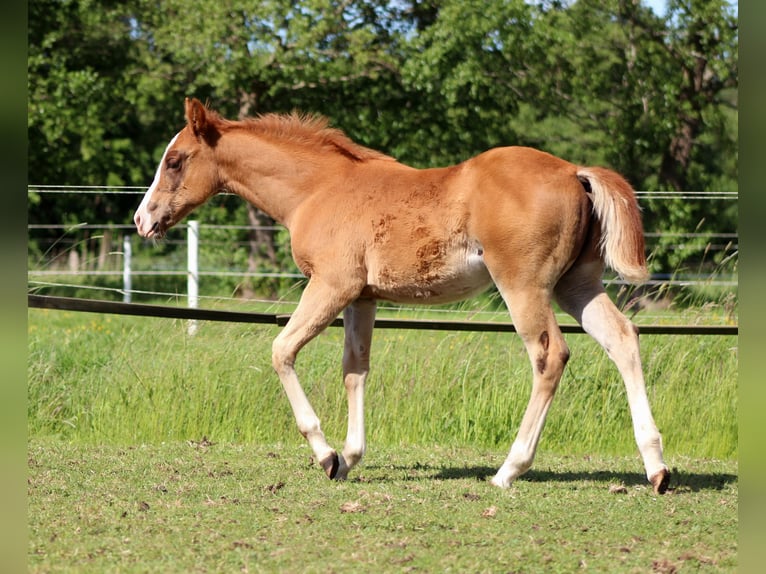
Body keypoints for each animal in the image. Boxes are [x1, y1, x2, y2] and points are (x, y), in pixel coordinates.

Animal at [134, 97, 670, 494]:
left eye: (174, 161)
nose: (143, 219)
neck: (318, 189)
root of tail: (573, 171)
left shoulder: (331, 285)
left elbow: (281, 350)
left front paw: (325, 454)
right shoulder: (362, 297)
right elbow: (355, 369)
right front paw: (349, 458)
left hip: (524, 286)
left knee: (550, 355)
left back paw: (508, 470)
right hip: (575, 285)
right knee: (623, 339)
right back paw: (656, 468)